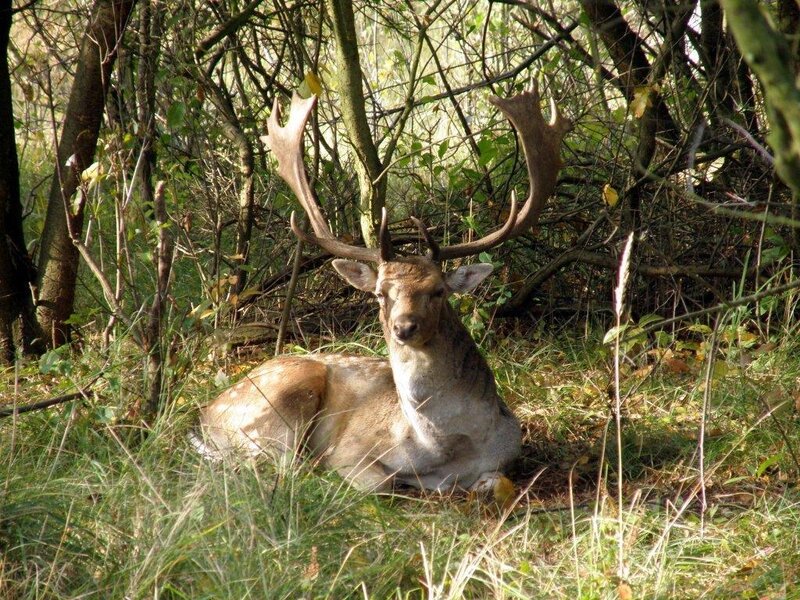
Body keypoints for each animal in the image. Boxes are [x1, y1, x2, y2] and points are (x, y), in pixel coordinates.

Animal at [193, 86, 570, 493]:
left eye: (438, 291)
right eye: (379, 292)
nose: (404, 327)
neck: (443, 449)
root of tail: (206, 414)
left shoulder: (508, 450)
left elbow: (495, 480)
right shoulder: (350, 448)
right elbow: (379, 481)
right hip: (279, 400)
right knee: (278, 464)